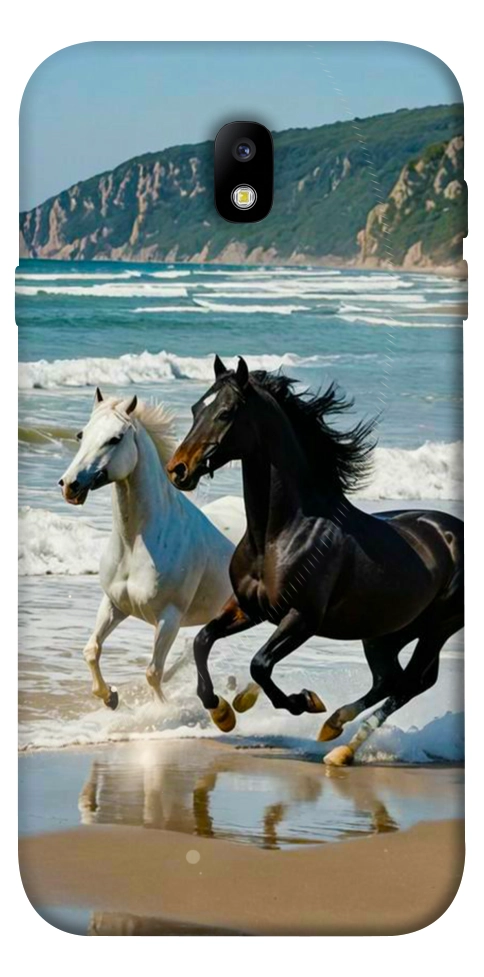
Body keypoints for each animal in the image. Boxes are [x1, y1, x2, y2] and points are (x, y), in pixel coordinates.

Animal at [59, 387, 234, 709]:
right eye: (81, 434)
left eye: (115, 438)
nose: (69, 485)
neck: (135, 544)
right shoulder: (114, 604)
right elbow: (91, 650)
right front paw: (110, 697)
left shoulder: (169, 618)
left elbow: (153, 672)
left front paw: (161, 711)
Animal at [166, 356, 464, 765]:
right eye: (197, 408)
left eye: (225, 413)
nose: (177, 469)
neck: (280, 534)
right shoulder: (248, 608)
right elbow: (202, 641)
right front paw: (223, 711)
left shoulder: (302, 618)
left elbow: (260, 664)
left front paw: (302, 701)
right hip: (386, 632)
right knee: (390, 679)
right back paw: (334, 728)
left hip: (437, 628)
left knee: (410, 683)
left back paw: (341, 746)